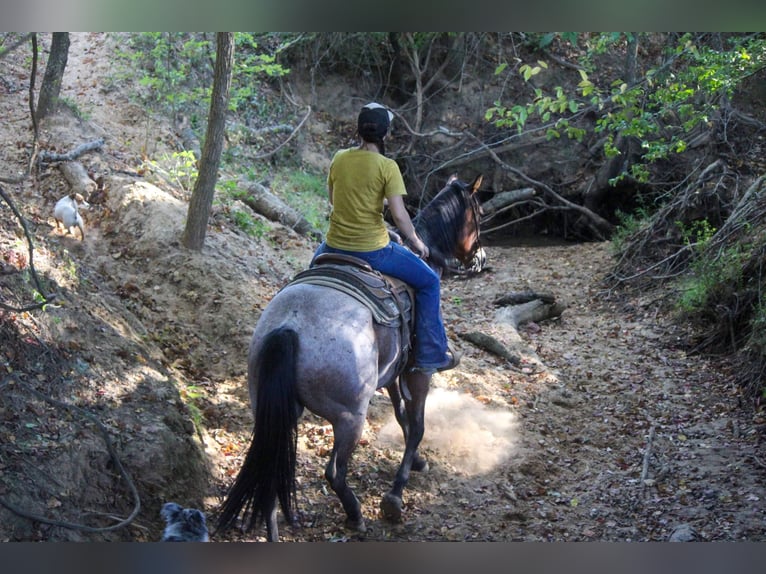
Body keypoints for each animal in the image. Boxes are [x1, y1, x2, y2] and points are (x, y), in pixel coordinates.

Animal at [213, 173, 484, 544]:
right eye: (479, 213)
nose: (481, 258)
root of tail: (289, 327)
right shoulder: (417, 373)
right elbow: (416, 425)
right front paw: (396, 494)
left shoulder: (392, 373)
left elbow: (401, 417)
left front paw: (415, 463)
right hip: (349, 417)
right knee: (334, 472)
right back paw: (355, 514)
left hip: (272, 408)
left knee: (272, 477)